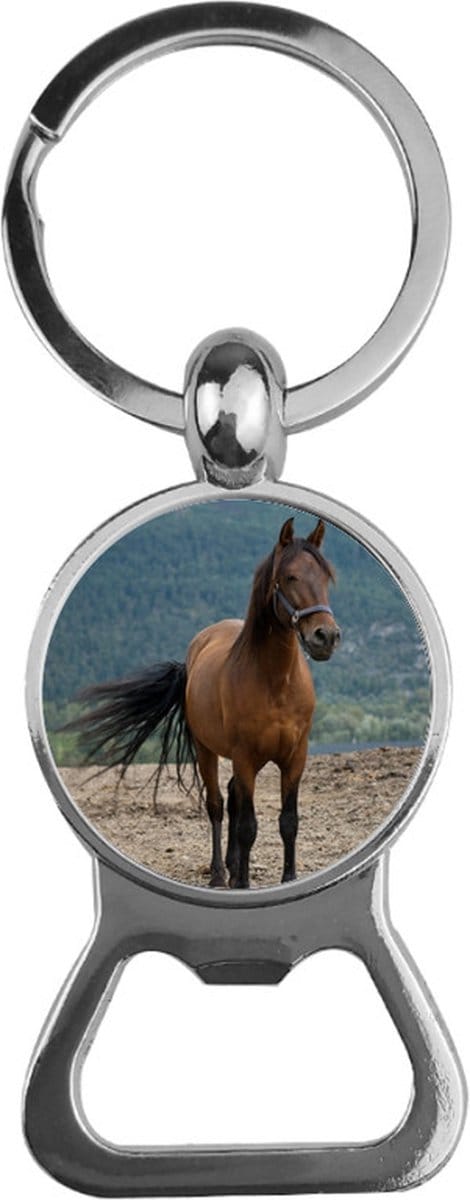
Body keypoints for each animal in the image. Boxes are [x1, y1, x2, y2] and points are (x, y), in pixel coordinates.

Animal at [68, 516, 340, 888]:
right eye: (290, 577)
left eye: (326, 577)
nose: (326, 637)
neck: (276, 683)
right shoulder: (244, 756)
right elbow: (247, 826)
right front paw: (242, 883)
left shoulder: (295, 757)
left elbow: (288, 822)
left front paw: (288, 878)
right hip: (206, 750)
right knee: (217, 804)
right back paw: (219, 874)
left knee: (233, 799)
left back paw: (231, 865)